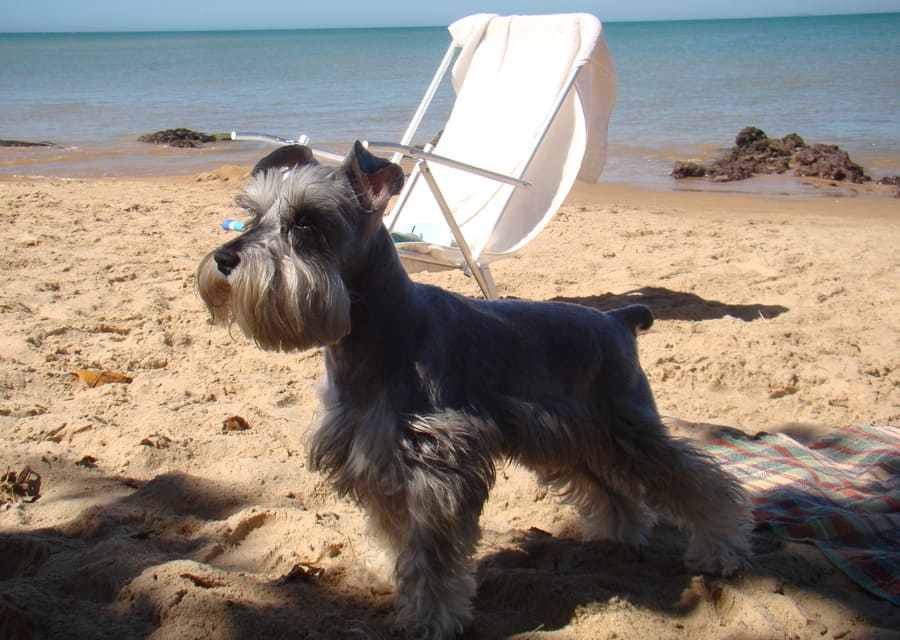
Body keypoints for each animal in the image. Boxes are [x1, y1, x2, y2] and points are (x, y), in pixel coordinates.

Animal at [197, 142, 752, 636]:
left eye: (307, 221)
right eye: (252, 213)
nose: (224, 259)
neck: (376, 332)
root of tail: (617, 319)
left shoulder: (434, 469)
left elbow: (430, 555)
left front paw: (431, 618)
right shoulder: (377, 460)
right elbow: (394, 532)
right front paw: (388, 573)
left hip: (629, 429)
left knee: (697, 480)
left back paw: (720, 547)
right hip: (576, 443)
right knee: (613, 489)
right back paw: (620, 534)